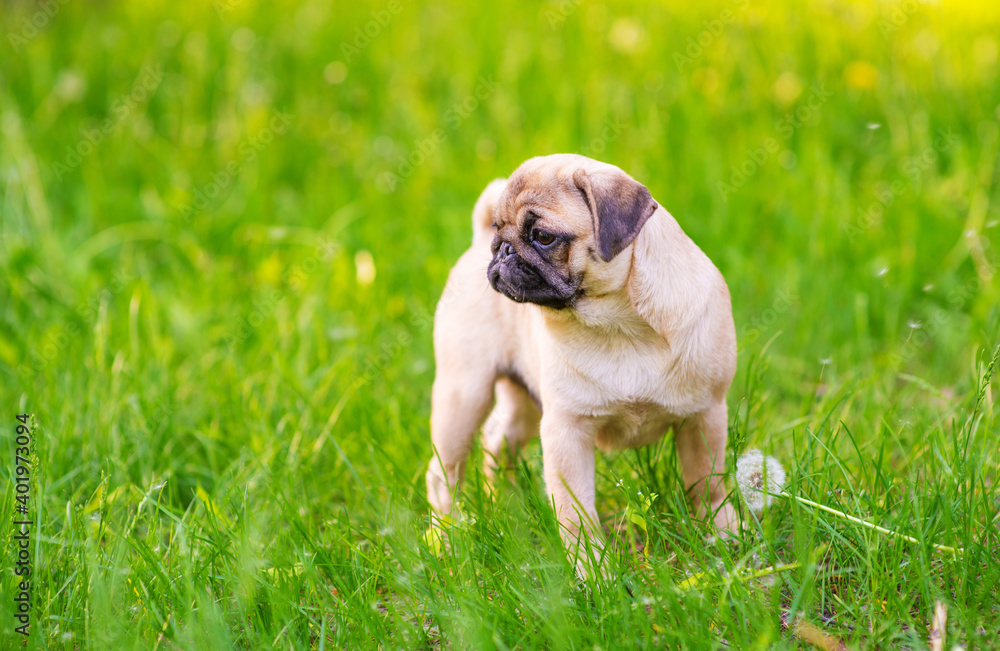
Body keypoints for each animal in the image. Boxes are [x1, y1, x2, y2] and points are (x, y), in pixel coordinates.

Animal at [426, 155, 740, 564]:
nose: (503, 250)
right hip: (463, 397)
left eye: (543, 237)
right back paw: (445, 537)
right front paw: (593, 569)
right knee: (443, 471)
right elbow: (576, 516)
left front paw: (721, 532)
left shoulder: (704, 414)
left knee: (499, 440)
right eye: (500, 229)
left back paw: (507, 502)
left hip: (522, 400)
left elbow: (707, 482)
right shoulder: (566, 432)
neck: (619, 325)